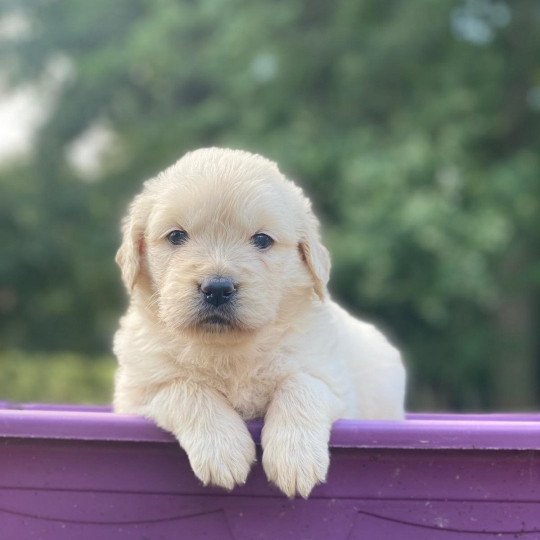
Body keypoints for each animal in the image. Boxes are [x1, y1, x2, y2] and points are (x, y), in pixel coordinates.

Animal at [115, 149, 410, 498]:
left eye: (262, 240)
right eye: (176, 236)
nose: (217, 288)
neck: (228, 351)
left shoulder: (332, 382)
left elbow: (301, 384)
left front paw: (295, 458)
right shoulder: (136, 393)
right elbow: (185, 387)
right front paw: (223, 449)